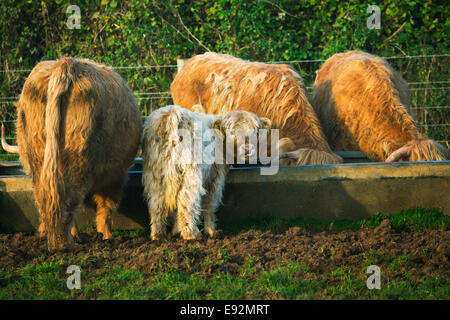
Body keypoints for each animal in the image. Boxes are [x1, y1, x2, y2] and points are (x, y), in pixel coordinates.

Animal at [0, 58, 142, 251]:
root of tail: (65, 64)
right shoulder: (116, 176)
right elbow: (106, 207)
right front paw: (106, 236)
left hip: (38, 153)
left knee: (45, 195)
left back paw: (49, 235)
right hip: (78, 154)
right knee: (69, 197)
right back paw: (64, 243)